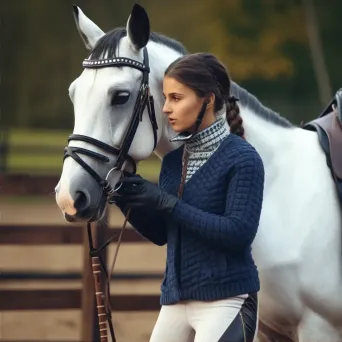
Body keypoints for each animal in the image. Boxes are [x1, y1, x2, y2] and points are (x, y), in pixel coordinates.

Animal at [56, 3, 342, 342]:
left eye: (121, 96)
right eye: (73, 94)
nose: (69, 196)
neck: (281, 193)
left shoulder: (319, 327)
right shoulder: (269, 329)